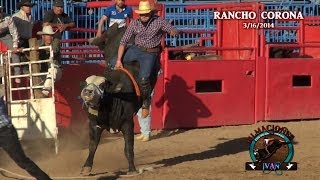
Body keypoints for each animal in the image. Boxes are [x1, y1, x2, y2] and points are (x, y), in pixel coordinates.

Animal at [80, 23, 159, 175]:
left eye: (102, 85)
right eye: (86, 83)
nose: (87, 91)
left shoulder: (127, 123)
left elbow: (128, 147)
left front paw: (132, 169)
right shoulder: (94, 124)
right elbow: (92, 146)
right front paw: (86, 168)